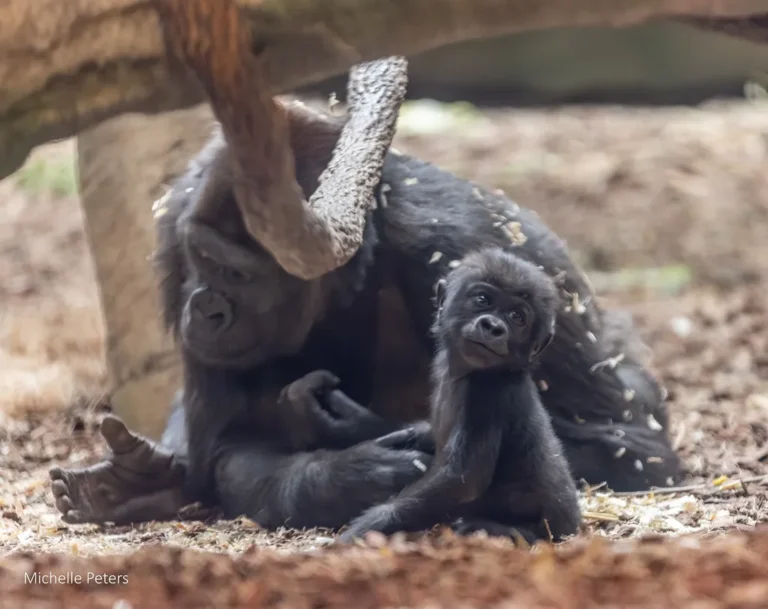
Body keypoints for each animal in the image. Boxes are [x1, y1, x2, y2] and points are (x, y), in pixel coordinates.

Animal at [337, 248, 581, 544]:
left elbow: (462, 482)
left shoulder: (487, 394)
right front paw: (407, 435)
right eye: (483, 300)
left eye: (517, 317)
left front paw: (368, 526)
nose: (493, 326)